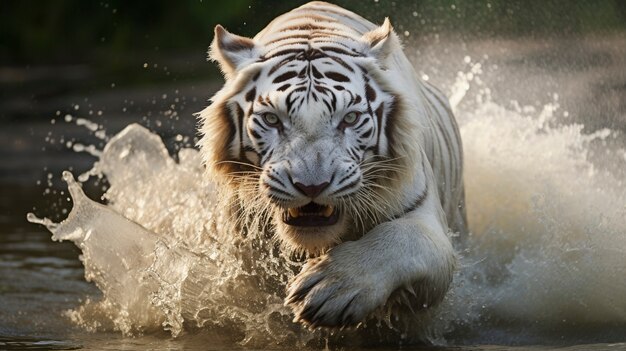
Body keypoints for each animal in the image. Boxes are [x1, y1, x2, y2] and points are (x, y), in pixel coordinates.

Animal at [197, 0, 466, 330]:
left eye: (349, 118)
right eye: (272, 119)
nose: (312, 186)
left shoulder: (427, 221)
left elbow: (401, 238)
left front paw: (332, 288)